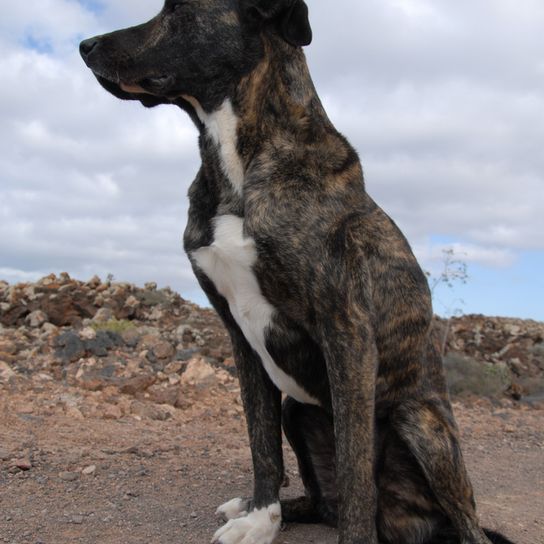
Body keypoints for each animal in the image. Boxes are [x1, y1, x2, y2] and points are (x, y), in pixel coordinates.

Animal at [79, 1, 516, 544]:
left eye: (177, 10)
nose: (84, 46)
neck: (239, 163)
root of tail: (417, 526)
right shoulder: (239, 337)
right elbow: (262, 447)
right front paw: (261, 518)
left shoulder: (347, 331)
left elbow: (355, 475)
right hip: (298, 410)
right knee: (322, 499)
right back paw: (267, 509)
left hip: (423, 426)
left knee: (462, 524)